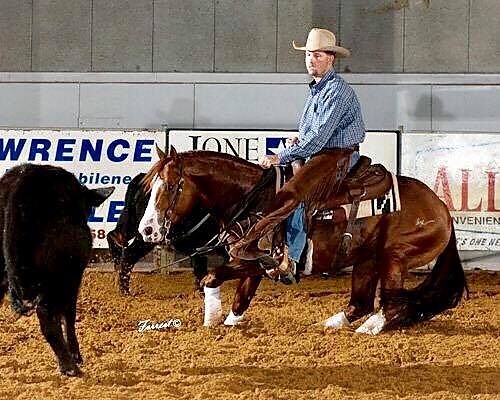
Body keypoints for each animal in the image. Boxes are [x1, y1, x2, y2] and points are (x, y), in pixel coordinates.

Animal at [0, 163, 114, 376]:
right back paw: (69, 366)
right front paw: (75, 354)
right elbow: (68, 312)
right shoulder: (72, 276)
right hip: (57, 276)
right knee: (47, 316)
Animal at [138, 146, 467, 334]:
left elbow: (211, 277)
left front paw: (211, 320)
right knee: (360, 303)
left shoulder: (260, 261)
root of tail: (442, 209)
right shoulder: (253, 265)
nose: (147, 230)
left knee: (392, 304)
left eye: (170, 186)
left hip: (394, 258)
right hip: (367, 261)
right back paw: (332, 324)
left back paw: (371, 328)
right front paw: (226, 322)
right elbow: (240, 299)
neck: (253, 201)